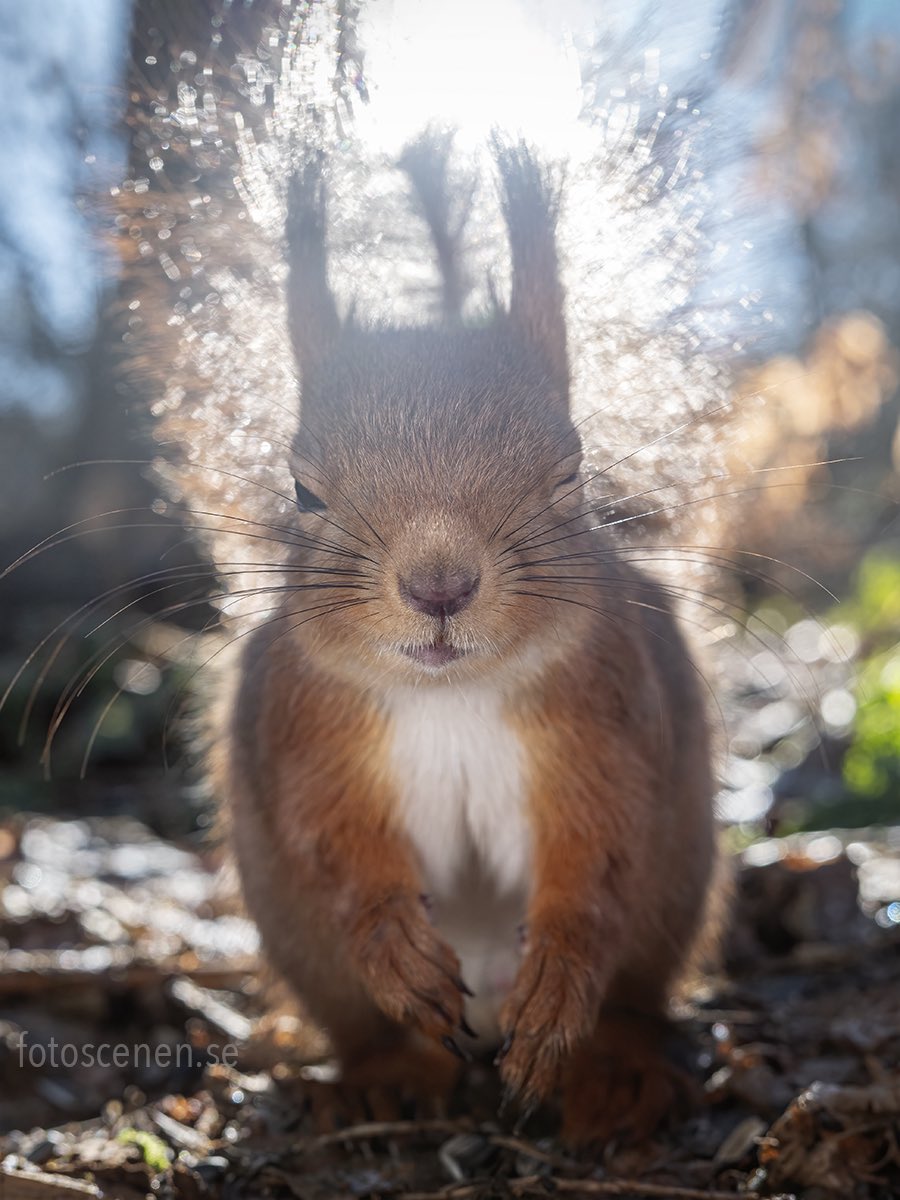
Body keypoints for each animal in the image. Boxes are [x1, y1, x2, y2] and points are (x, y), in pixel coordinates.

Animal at [209, 136, 718, 1146]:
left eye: (569, 473)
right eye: (304, 490)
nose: (439, 584)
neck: (450, 696)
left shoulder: (605, 721)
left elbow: (600, 852)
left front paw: (560, 975)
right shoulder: (307, 733)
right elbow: (332, 845)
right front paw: (390, 941)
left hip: (671, 903)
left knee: (631, 1000)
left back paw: (617, 1075)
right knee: (371, 1024)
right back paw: (387, 1076)